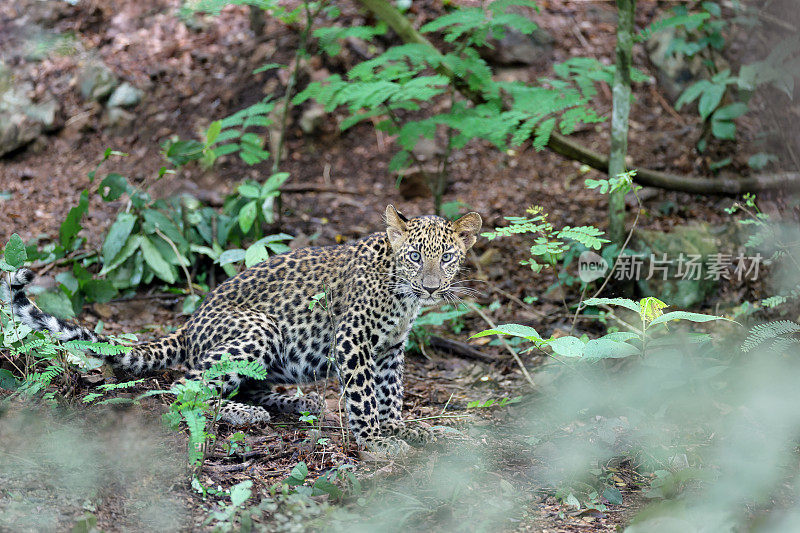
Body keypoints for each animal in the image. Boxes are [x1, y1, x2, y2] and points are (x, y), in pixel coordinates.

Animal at [7, 206, 482, 456]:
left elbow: (390, 394)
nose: (431, 287)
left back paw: (295, 403)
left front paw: (404, 428)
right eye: (415, 256)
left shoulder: (390, 349)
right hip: (260, 328)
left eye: (447, 257)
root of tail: (187, 327)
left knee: (244, 385)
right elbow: (365, 398)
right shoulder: (353, 340)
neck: (403, 297)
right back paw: (248, 414)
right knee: (187, 387)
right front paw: (377, 442)